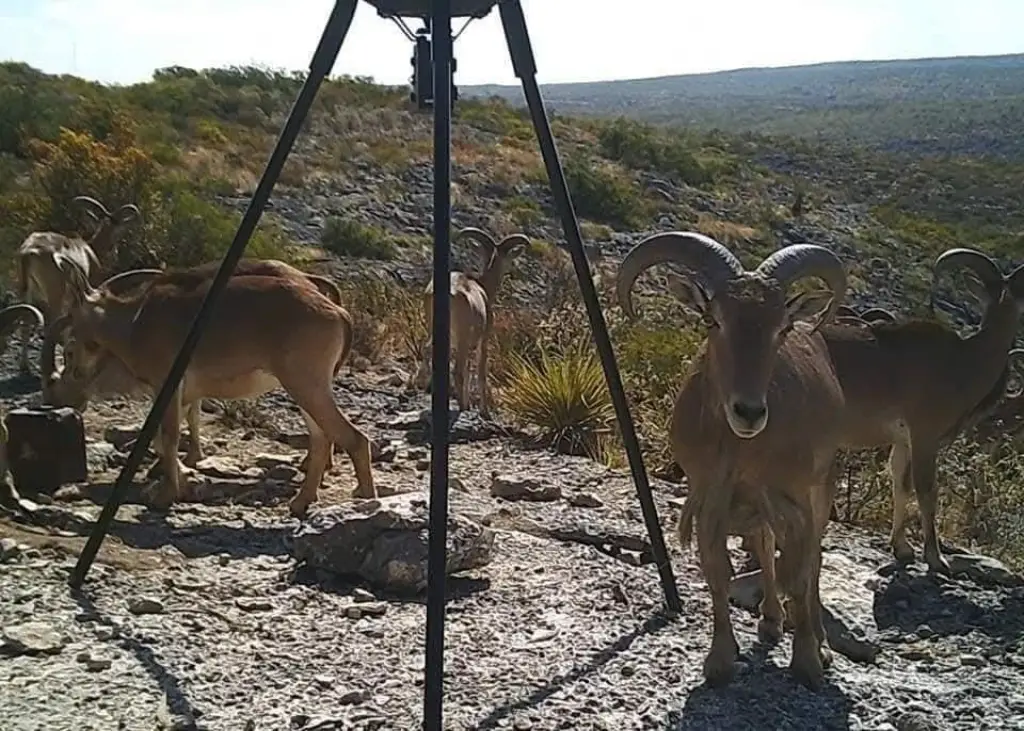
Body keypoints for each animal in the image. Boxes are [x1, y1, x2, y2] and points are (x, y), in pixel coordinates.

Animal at [16, 196, 141, 374]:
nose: (116, 250)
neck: (90, 250)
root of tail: (28, 253)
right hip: (55, 293)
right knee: (49, 324)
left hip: (25, 291)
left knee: (25, 322)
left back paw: (24, 366)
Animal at [38, 257, 374, 517]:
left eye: (69, 349)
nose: (59, 396)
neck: (134, 324)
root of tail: (340, 313)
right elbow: (166, 435)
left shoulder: (169, 383)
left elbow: (169, 436)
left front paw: (166, 495)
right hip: (305, 386)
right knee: (321, 438)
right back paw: (301, 502)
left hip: (305, 382)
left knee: (353, 438)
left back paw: (365, 498)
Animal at [414, 227, 527, 416]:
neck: (484, 287)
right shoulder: (482, 339)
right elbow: (480, 372)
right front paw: (484, 411)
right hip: (462, 336)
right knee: (458, 371)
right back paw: (461, 406)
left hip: (436, 331)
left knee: (429, 351)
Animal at [616, 231, 848, 690]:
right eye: (714, 320)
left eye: (781, 328)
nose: (749, 412)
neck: (743, 449)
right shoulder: (711, 494)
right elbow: (718, 572)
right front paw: (720, 660)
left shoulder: (796, 497)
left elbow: (801, 572)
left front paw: (808, 661)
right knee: (765, 544)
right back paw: (772, 620)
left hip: (822, 485)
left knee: (811, 561)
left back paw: (819, 642)